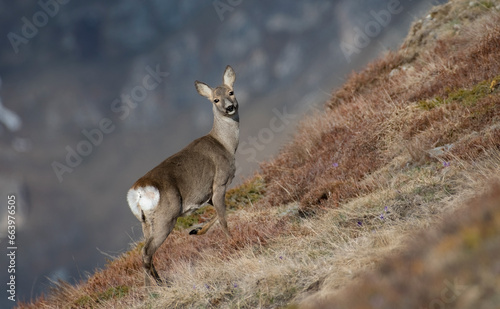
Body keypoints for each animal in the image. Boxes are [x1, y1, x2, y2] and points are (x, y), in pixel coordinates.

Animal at [128, 65, 239, 284]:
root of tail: (137, 191)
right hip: (166, 217)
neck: (226, 145)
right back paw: (159, 285)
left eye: (231, 92)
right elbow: (223, 217)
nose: (230, 107)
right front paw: (232, 242)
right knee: (146, 252)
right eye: (215, 99)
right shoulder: (219, 183)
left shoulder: (207, 195)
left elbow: (218, 214)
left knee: (146, 252)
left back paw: (154, 283)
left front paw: (197, 230)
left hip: (146, 222)